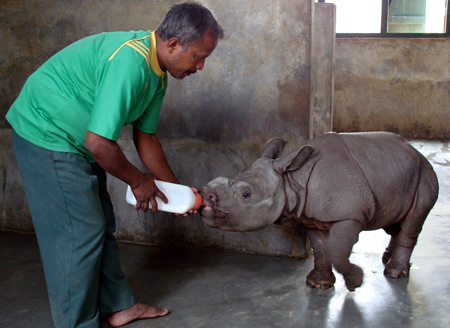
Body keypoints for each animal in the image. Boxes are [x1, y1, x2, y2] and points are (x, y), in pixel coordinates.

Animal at [201, 132, 440, 290]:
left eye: (246, 195)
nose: (207, 194)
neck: (290, 181)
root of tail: (415, 151)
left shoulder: (349, 215)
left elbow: (337, 251)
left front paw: (355, 282)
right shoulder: (308, 215)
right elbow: (320, 247)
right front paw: (318, 284)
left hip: (425, 173)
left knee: (412, 222)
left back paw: (393, 273)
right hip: (398, 174)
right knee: (394, 222)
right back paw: (388, 258)